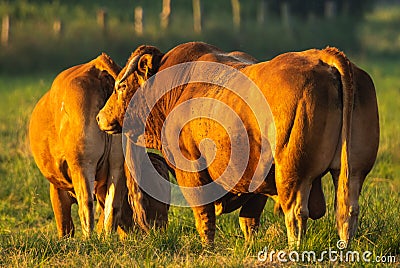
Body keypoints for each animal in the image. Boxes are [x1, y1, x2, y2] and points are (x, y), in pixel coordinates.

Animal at [96, 42, 378, 247]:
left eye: (121, 85)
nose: (100, 117)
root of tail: (321, 56)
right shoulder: (257, 175)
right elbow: (249, 220)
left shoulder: (190, 169)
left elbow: (204, 215)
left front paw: (207, 249)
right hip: (352, 170)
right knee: (348, 210)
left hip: (293, 174)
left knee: (297, 213)